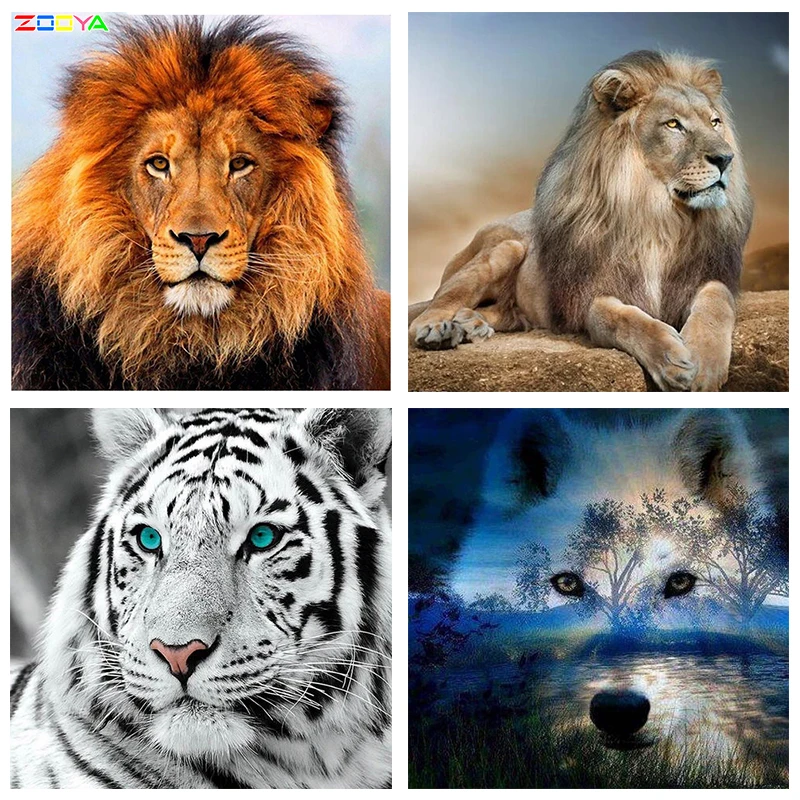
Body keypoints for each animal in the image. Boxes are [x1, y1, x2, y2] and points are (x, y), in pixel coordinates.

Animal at [409, 51, 753, 391]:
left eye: (715, 122)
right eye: (673, 124)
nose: (726, 159)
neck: (658, 216)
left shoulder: (705, 273)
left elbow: (717, 299)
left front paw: (705, 362)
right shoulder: (588, 294)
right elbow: (614, 317)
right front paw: (671, 358)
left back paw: (471, 323)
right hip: (505, 248)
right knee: (431, 308)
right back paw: (440, 328)